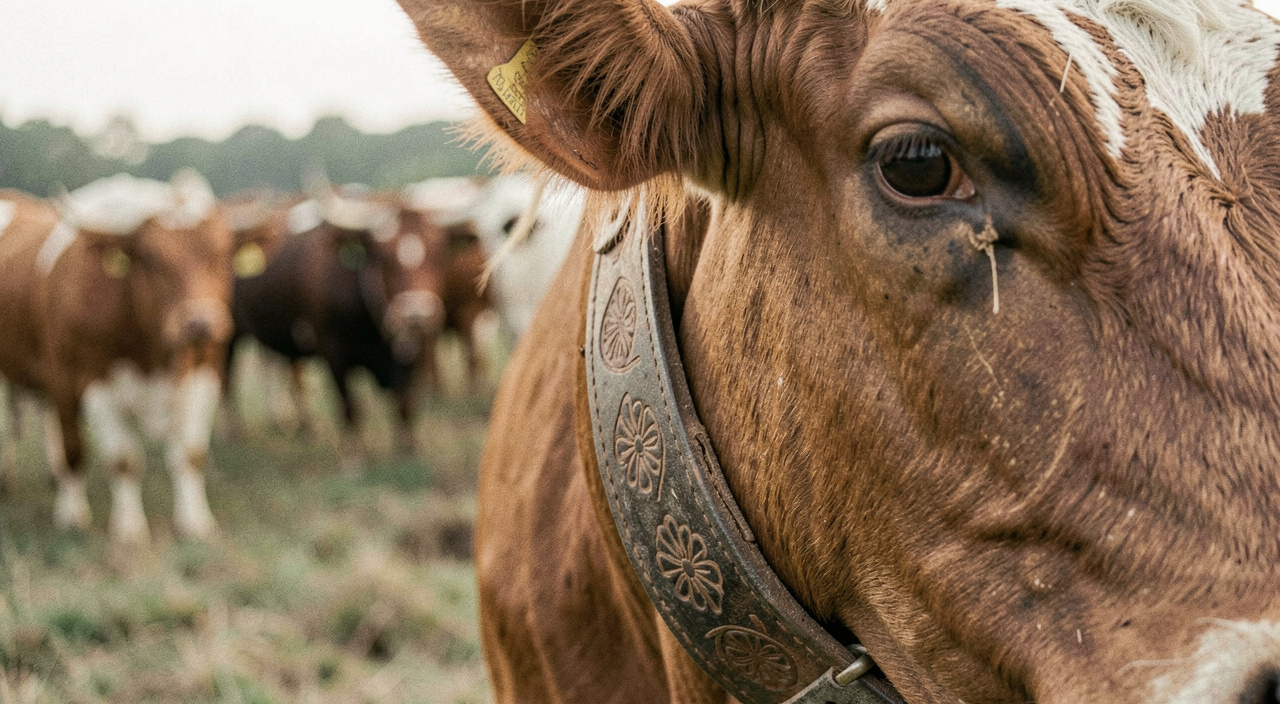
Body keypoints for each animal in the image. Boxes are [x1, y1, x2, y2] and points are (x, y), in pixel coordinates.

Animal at [0, 171, 233, 545]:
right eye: (150, 258)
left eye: (223, 252)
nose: (200, 323)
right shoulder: (92, 383)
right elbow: (118, 459)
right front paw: (123, 528)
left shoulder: (205, 374)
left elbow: (191, 455)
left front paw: (195, 522)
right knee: (65, 440)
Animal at [230, 181, 483, 462]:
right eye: (383, 258)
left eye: (438, 257)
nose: (416, 314)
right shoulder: (334, 351)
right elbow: (350, 405)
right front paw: (355, 454)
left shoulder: (414, 351)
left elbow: (405, 402)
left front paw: (408, 448)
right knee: (229, 378)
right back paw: (236, 432)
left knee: (294, 375)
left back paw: (303, 426)